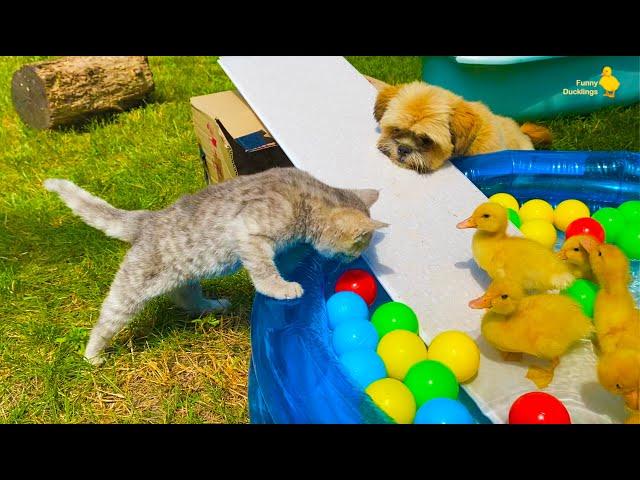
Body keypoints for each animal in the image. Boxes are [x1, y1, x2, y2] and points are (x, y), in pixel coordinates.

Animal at [45, 168, 388, 364]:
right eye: (359, 245)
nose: (355, 259)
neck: (308, 198)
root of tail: (148, 220)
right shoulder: (248, 233)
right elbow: (264, 271)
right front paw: (282, 288)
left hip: (185, 277)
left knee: (186, 299)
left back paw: (214, 306)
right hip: (129, 293)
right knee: (105, 322)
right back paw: (92, 356)